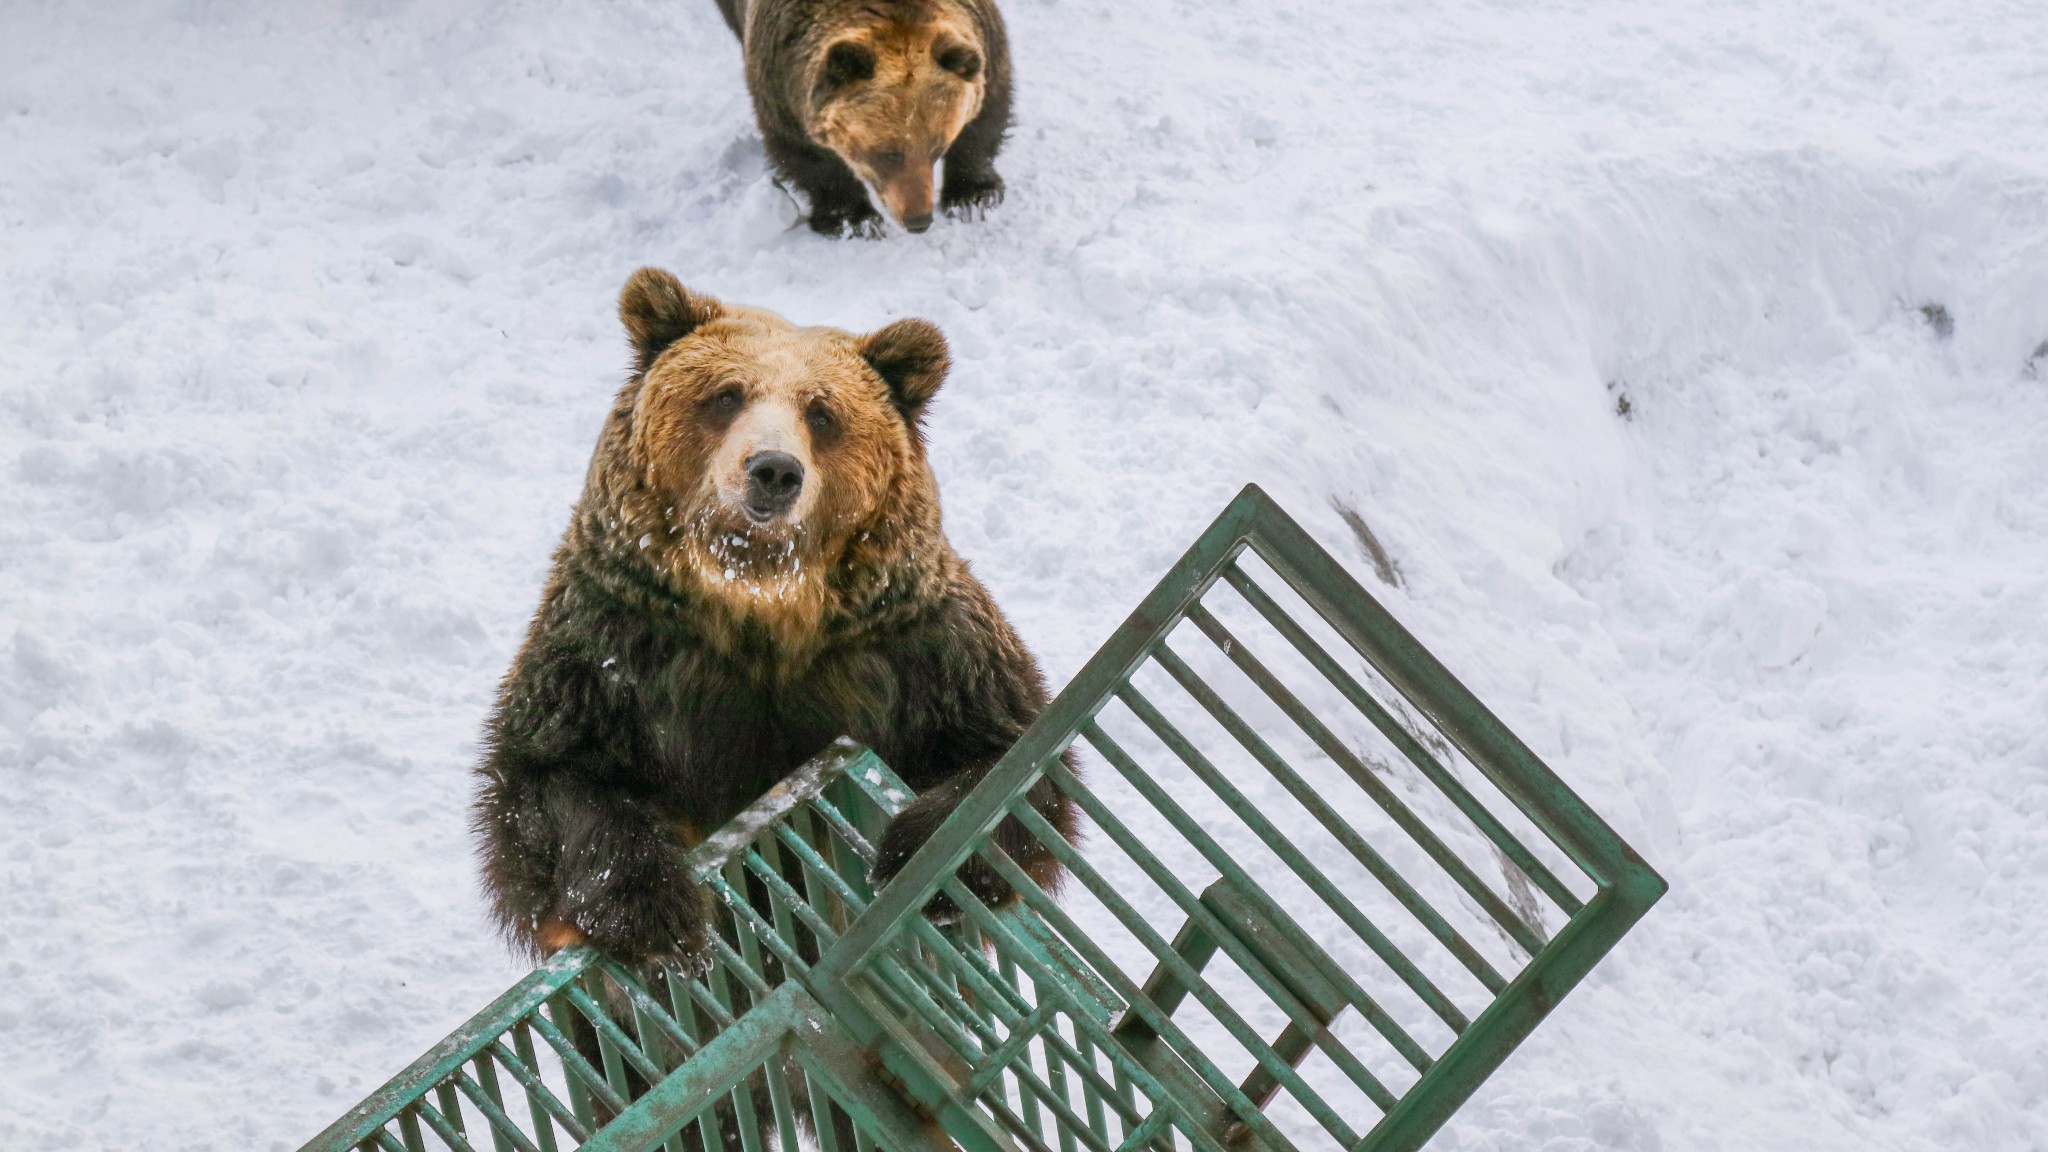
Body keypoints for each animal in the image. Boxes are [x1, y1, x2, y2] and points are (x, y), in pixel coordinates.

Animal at [464, 266, 1073, 959]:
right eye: (726, 395)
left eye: (822, 412)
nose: (774, 470)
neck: (758, 598)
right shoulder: (619, 644)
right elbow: (554, 775)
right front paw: (652, 911)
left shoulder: (915, 650)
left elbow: (1014, 758)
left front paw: (916, 856)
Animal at [712, 0, 1015, 234]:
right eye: (888, 153)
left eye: (938, 148)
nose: (919, 220)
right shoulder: (781, 85)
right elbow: (808, 157)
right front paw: (852, 219)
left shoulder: (983, 44)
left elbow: (983, 123)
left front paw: (973, 196)